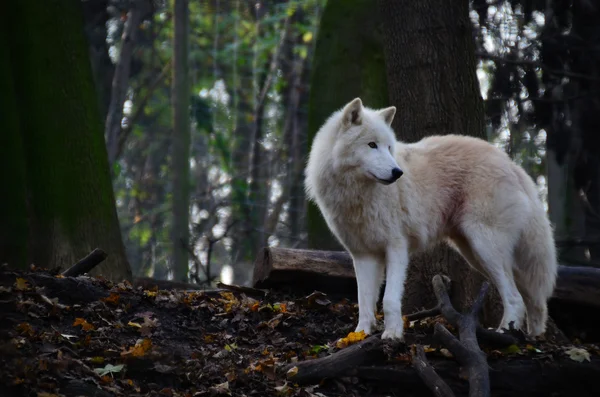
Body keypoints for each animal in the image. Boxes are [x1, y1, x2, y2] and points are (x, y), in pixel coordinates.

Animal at [304, 96, 556, 340]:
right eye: (372, 145)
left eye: (388, 147)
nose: (397, 173)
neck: (357, 195)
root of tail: (512, 164)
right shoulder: (363, 255)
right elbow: (364, 302)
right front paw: (359, 335)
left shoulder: (396, 247)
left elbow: (389, 299)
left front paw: (392, 334)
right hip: (476, 254)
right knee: (531, 297)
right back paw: (532, 335)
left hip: (485, 248)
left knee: (515, 297)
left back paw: (505, 332)